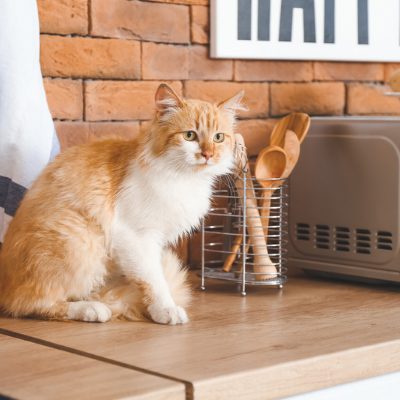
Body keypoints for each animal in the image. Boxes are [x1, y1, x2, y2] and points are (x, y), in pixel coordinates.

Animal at [0, 84, 244, 324]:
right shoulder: (136, 237)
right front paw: (165, 309)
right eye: (190, 135)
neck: (184, 178)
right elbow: (154, 280)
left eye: (219, 137)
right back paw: (92, 308)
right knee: (31, 303)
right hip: (81, 240)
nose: (208, 154)